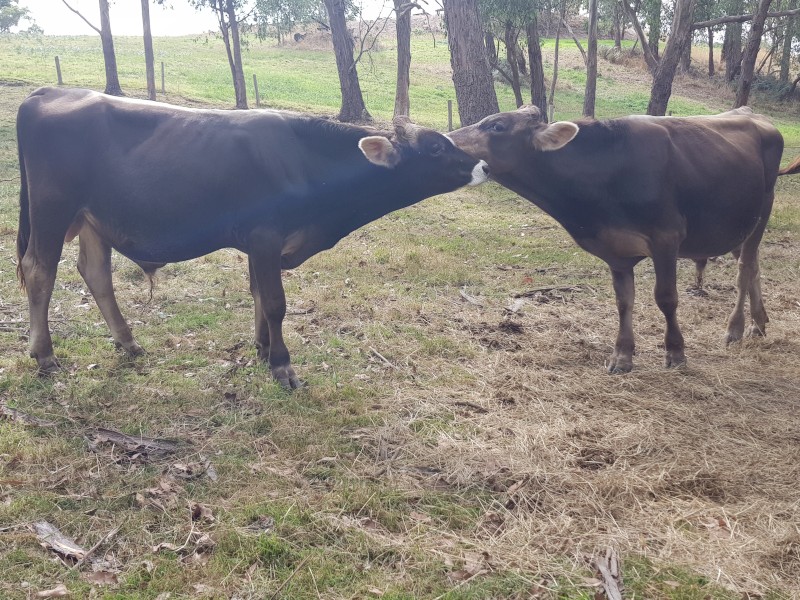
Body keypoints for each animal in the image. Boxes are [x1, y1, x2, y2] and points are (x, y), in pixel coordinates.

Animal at [16, 87, 488, 388]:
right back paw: (45, 355)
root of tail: (48, 92)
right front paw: (281, 364)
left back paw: (128, 342)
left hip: (93, 219)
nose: (482, 166)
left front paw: (262, 349)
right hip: (53, 210)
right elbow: (276, 302)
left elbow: (260, 294)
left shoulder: (264, 245)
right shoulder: (264, 235)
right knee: (39, 272)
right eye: (435, 148)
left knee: (95, 273)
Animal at [449, 105, 800, 373]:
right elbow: (623, 301)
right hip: (736, 224)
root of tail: (752, 113)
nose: (446, 140)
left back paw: (735, 328)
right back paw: (759, 322)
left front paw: (675, 352)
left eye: (497, 125)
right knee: (754, 269)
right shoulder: (615, 251)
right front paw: (622, 356)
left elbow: (666, 297)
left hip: (761, 212)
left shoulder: (667, 237)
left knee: (745, 270)